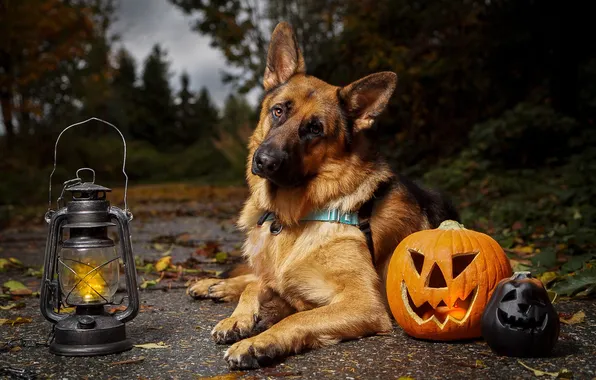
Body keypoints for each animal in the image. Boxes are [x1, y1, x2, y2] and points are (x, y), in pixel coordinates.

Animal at [189, 22, 458, 370]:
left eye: (315, 129)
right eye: (278, 111)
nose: (265, 162)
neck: (295, 215)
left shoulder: (362, 302)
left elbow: (294, 316)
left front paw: (259, 342)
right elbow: (254, 285)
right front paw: (238, 318)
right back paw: (214, 284)